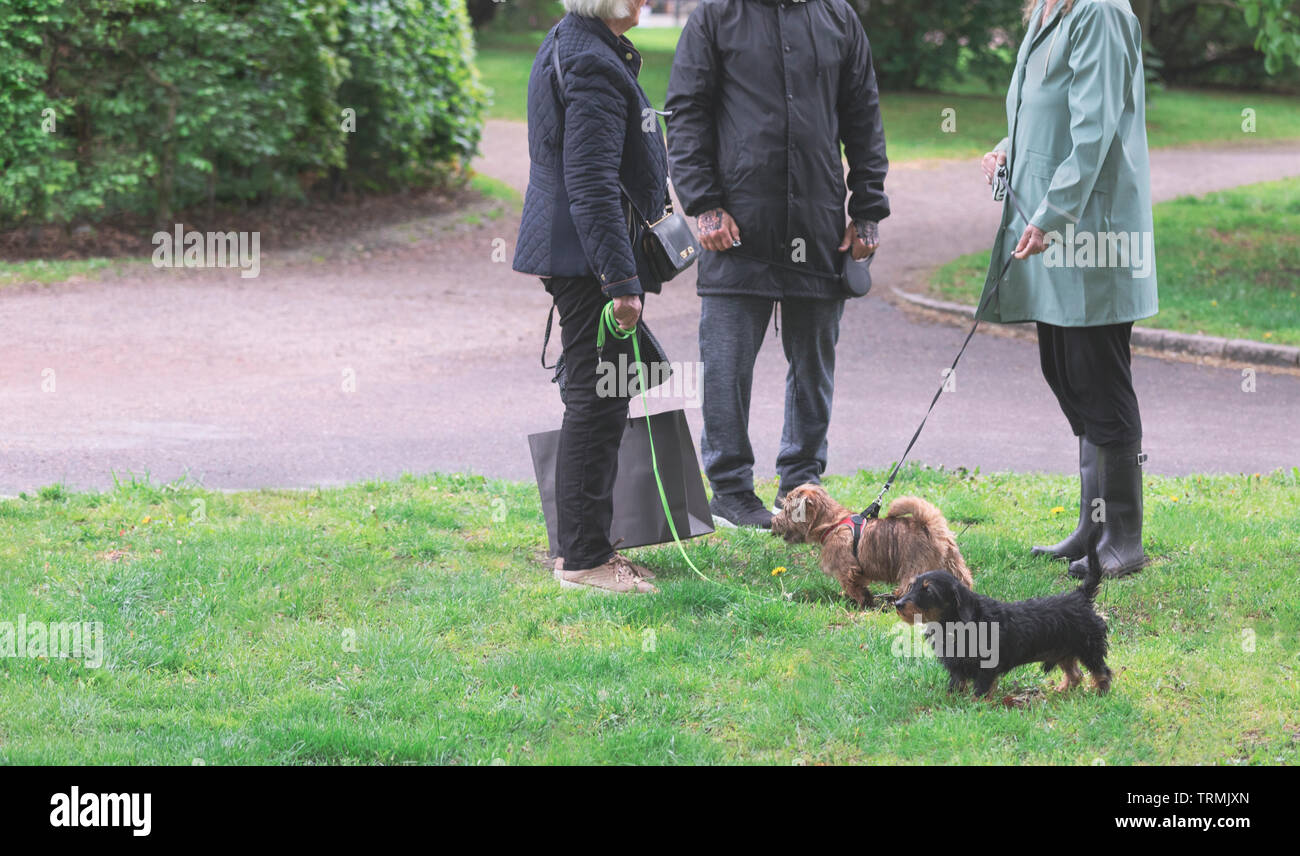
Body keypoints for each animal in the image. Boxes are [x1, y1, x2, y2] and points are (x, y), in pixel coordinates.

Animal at [764, 478, 972, 606]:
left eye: (787, 510)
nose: (772, 521)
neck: (833, 523)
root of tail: (930, 525)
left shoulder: (847, 569)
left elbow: (853, 587)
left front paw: (862, 602)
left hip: (914, 568)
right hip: (953, 564)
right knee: (965, 581)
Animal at [899, 530, 1112, 697]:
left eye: (928, 590)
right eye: (912, 586)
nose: (898, 604)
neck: (956, 623)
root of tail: (1080, 596)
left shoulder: (986, 666)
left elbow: (981, 691)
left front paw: (976, 707)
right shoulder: (957, 667)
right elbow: (955, 686)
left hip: (1088, 648)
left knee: (1102, 672)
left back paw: (1100, 693)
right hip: (1065, 651)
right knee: (1076, 674)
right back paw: (1063, 690)